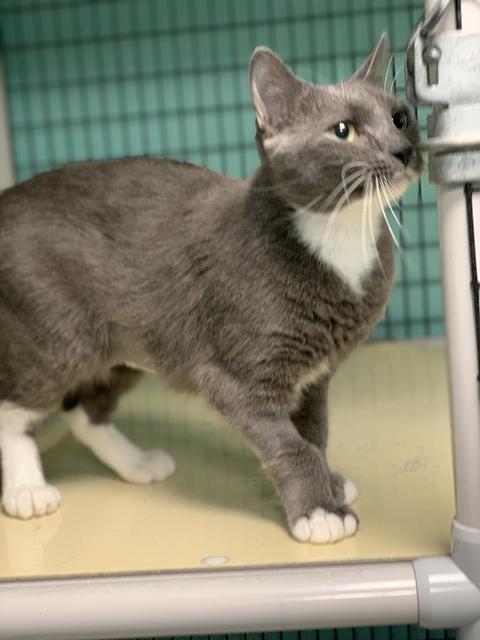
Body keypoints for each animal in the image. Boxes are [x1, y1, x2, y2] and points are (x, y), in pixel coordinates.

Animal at [0, 34, 421, 543]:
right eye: (343, 131)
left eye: (400, 117)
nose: (403, 150)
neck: (338, 236)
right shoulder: (237, 376)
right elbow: (290, 445)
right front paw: (319, 512)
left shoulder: (314, 375)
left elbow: (314, 433)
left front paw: (329, 484)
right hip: (56, 338)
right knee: (15, 409)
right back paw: (27, 491)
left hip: (129, 343)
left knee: (83, 412)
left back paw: (137, 463)